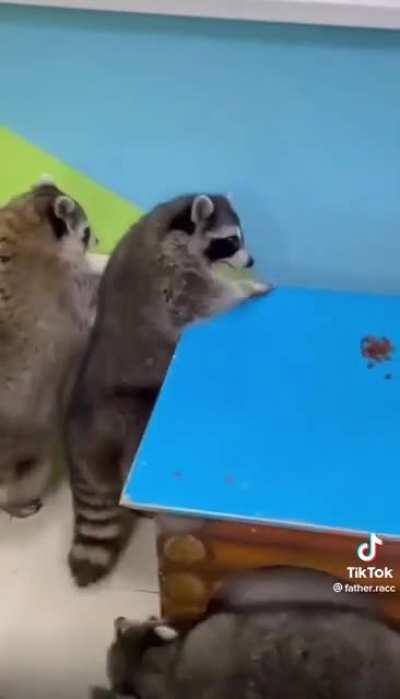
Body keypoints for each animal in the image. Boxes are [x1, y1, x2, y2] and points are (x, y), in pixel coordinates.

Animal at [0, 179, 99, 518]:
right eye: (87, 230)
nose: (100, 239)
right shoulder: (65, 282)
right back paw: (14, 502)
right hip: (29, 444)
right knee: (32, 471)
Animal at [65, 193, 269, 587]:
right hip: (129, 412)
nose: (251, 262)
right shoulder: (177, 276)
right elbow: (206, 300)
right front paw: (246, 290)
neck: (171, 222)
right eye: (231, 240)